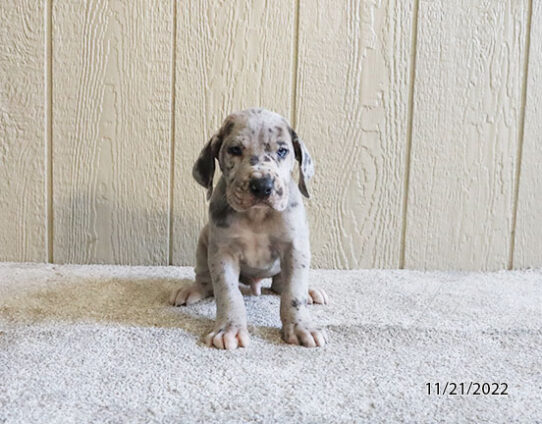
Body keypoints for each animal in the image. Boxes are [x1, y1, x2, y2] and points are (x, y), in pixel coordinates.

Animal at [172, 107, 330, 350]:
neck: (257, 215)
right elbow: (228, 294)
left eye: (282, 151)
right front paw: (229, 329)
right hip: (204, 240)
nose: (262, 186)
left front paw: (301, 327)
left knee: (282, 286)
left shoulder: (295, 249)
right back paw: (193, 289)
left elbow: (293, 294)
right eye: (235, 150)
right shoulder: (222, 253)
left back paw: (310, 291)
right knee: (205, 279)